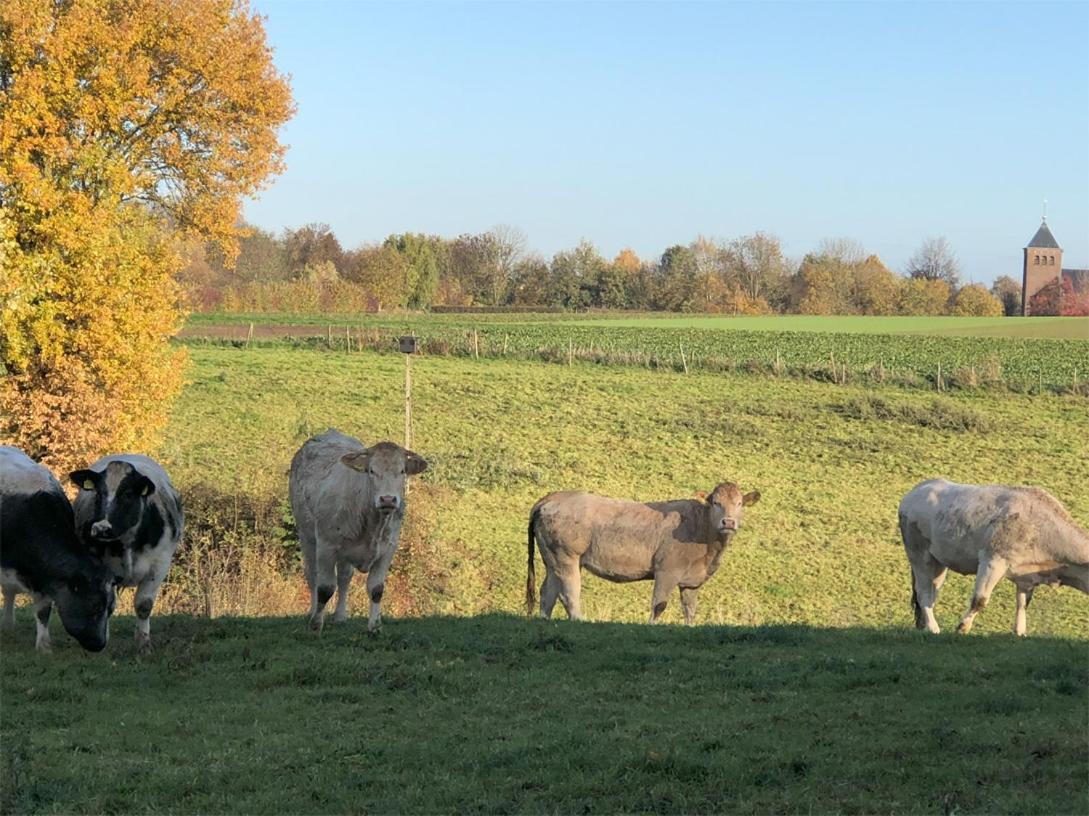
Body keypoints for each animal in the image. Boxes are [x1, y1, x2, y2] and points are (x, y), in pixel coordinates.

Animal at [1, 442, 115, 653]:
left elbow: (43, 610)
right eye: (94, 606)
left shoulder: (45, 578)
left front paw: (43, 645)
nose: (100, 644)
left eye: (111, 609)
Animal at [69, 451, 182, 649]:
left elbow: (144, 605)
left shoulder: (159, 565)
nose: (101, 528)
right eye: (98, 493)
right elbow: (107, 604)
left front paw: (144, 644)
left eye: (127, 494)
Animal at [289, 429, 429, 631]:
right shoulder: (326, 546)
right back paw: (313, 612)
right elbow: (325, 588)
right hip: (306, 535)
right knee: (313, 575)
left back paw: (340, 616)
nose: (388, 499)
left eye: (402, 471)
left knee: (344, 577)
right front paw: (316, 624)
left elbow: (376, 589)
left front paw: (374, 627)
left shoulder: (388, 549)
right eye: (371, 470)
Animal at [524, 483, 762, 623]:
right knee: (569, 594)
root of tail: (553, 497)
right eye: (715, 502)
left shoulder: (692, 581)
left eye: (739, 503)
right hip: (567, 558)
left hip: (552, 560)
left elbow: (690, 609)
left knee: (547, 593)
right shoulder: (666, 571)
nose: (728, 522)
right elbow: (659, 604)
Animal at [901, 477, 1089, 636]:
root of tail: (917, 490)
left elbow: (1023, 604)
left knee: (932, 592)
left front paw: (1019, 632)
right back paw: (933, 628)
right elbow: (980, 599)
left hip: (939, 562)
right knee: (923, 592)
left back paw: (924, 625)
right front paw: (962, 627)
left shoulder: (1027, 577)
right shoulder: (992, 560)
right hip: (919, 554)